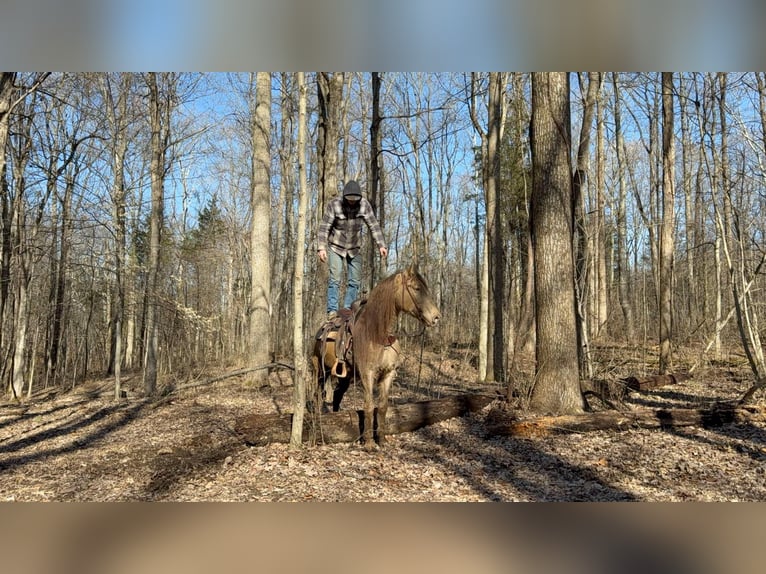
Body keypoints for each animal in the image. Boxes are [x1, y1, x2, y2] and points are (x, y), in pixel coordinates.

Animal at [312, 264, 440, 450]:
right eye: (416, 288)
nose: (436, 317)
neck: (379, 334)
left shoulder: (388, 375)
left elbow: (382, 407)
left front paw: (382, 439)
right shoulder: (368, 375)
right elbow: (369, 406)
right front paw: (369, 443)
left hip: (345, 376)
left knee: (337, 395)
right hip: (320, 370)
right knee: (317, 394)